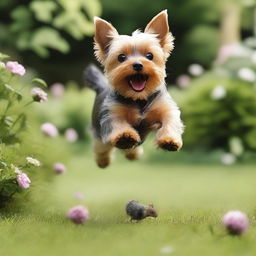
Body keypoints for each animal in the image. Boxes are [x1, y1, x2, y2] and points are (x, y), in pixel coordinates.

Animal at [84, 10, 184, 168]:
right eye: (121, 57)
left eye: (149, 55)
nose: (137, 64)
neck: (139, 99)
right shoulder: (112, 112)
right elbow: (117, 123)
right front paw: (125, 136)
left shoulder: (164, 107)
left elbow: (170, 119)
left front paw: (169, 140)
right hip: (98, 132)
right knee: (101, 147)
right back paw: (103, 161)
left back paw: (133, 154)